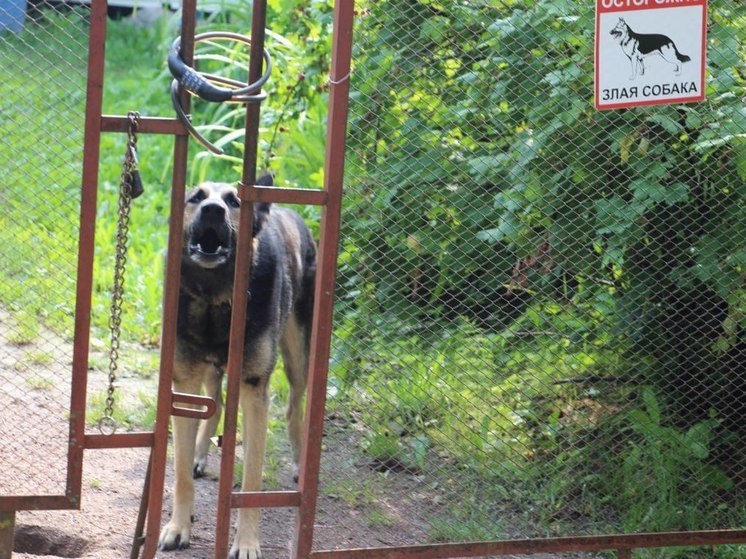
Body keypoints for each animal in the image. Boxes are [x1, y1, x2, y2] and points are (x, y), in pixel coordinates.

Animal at [158, 176, 316, 559]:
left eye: (234, 202)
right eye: (196, 197)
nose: (213, 210)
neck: (215, 297)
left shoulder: (253, 389)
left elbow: (250, 482)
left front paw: (246, 543)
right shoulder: (184, 383)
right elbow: (180, 473)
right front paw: (178, 527)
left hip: (298, 359)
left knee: (294, 408)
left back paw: (299, 463)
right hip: (210, 373)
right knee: (214, 404)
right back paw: (200, 455)